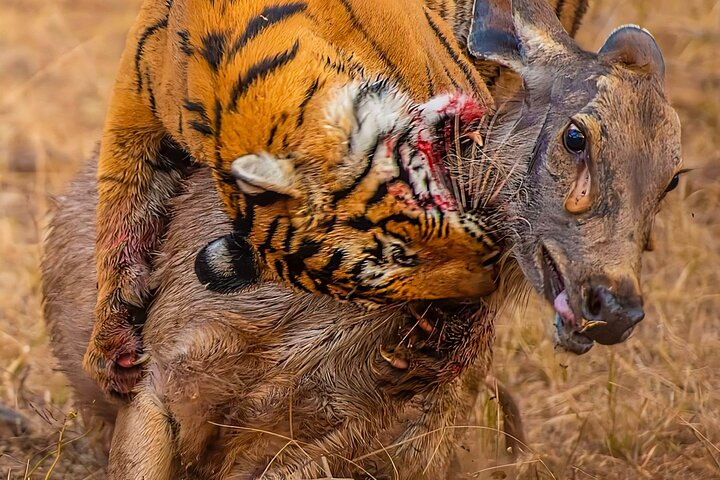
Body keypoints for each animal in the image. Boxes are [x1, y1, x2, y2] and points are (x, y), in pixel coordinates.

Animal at [88, 0, 590, 396]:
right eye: (369, 296)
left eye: (399, 253)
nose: (485, 277)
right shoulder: (138, 108)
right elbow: (121, 209)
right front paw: (114, 349)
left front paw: (440, 344)